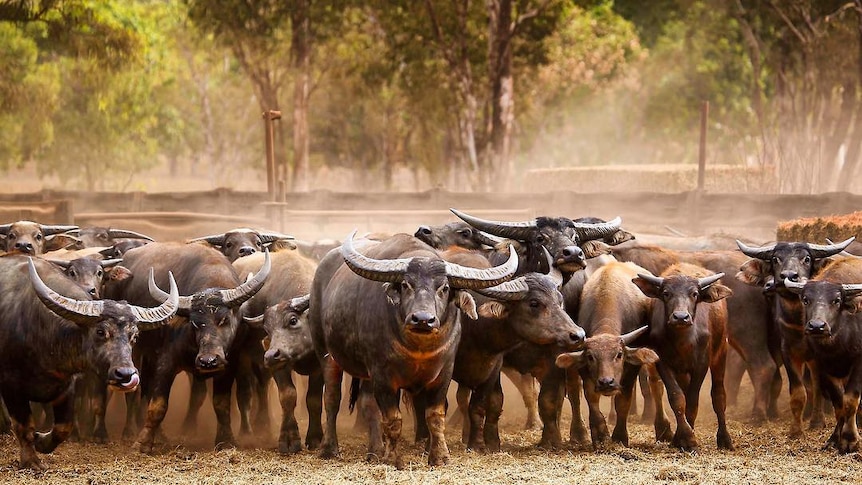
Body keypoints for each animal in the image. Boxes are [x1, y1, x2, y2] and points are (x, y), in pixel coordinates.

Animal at [0, 255, 178, 466]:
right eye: (100, 332)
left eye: (134, 336)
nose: (126, 375)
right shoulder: (11, 386)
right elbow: (23, 426)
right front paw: (31, 461)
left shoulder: (66, 386)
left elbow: (63, 427)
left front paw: (41, 441)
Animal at [312, 233, 520, 466]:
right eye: (405, 284)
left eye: (444, 288)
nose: (422, 319)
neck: (419, 348)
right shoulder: (382, 375)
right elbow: (393, 419)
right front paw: (392, 459)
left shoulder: (443, 373)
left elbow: (435, 416)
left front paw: (440, 457)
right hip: (326, 353)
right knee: (332, 398)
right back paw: (330, 448)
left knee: (367, 404)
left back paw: (374, 451)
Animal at [636, 264, 736, 450]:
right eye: (666, 293)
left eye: (695, 294)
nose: (681, 317)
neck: (683, 340)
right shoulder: (663, 363)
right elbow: (677, 398)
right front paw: (683, 437)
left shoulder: (701, 365)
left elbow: (692, 401)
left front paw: (689, 440)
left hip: (721, 352)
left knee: (719, 395)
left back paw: (725, 439)